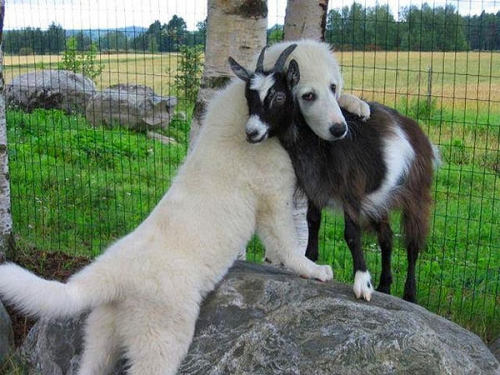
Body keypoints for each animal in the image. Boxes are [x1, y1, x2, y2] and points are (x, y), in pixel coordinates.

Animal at [230, 46, 438, 302]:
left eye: (278, 96)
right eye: (248, 96)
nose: (252, 132)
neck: (317, 144)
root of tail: (418, 133)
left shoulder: (351, 193)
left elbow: (351, 234)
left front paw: (362, 283)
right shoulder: (314, 188)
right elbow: (313, 221)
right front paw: (312, 262)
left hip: (416, 193)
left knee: (412, 244)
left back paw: (409, 294)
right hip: (380, 199)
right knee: (387, 239)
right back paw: (385, 286)